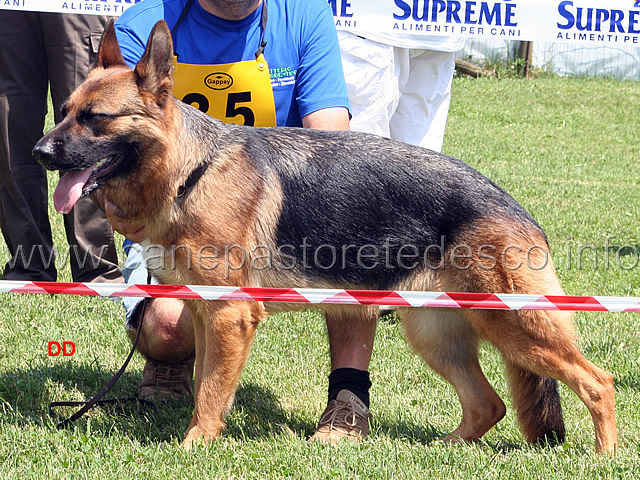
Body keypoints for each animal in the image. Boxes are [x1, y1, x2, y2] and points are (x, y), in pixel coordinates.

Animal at [32, 19, 616, 454]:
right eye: (64, 113)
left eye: (95, 119)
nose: (39, 153)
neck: (191, 169)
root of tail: (513, 205)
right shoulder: (202, 311)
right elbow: (204, 384)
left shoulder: (227, 315)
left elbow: (212, 391)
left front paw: (195, 445)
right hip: (435, 334)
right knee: (488, 404)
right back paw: (444, 449)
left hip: (517, 326)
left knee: (597, 381)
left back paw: (603, 456)